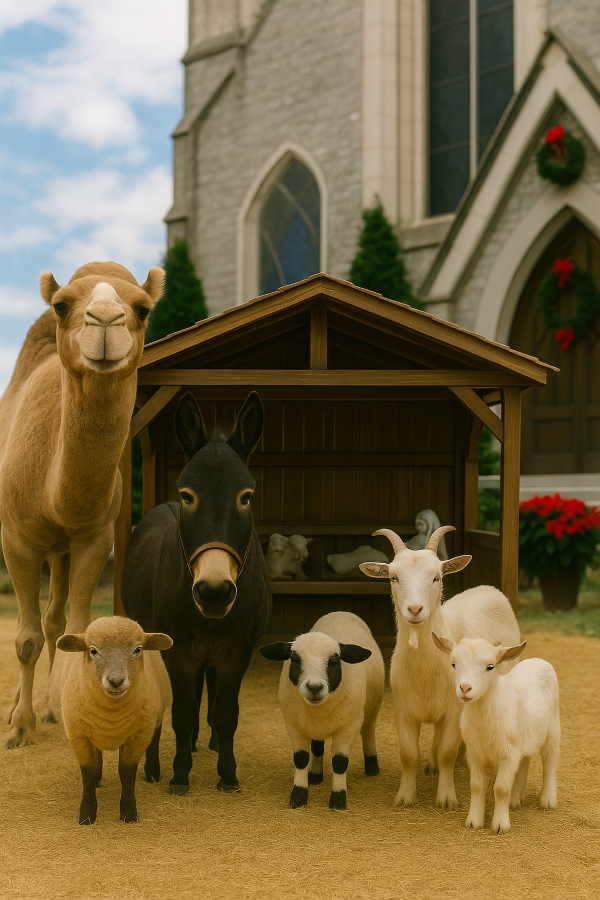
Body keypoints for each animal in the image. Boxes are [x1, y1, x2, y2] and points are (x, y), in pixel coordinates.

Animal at [0, 261, 164, 748]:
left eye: (143, 308)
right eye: (61, 305)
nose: (105, 320)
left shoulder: (93, 538)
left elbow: (72, 629)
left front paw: (63, 709)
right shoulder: (17, 540)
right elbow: (25, 639)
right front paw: (19, 729)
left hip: (63, 551)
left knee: (55, 620)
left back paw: (50, 708)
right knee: (39, 626)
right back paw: (20, 711)